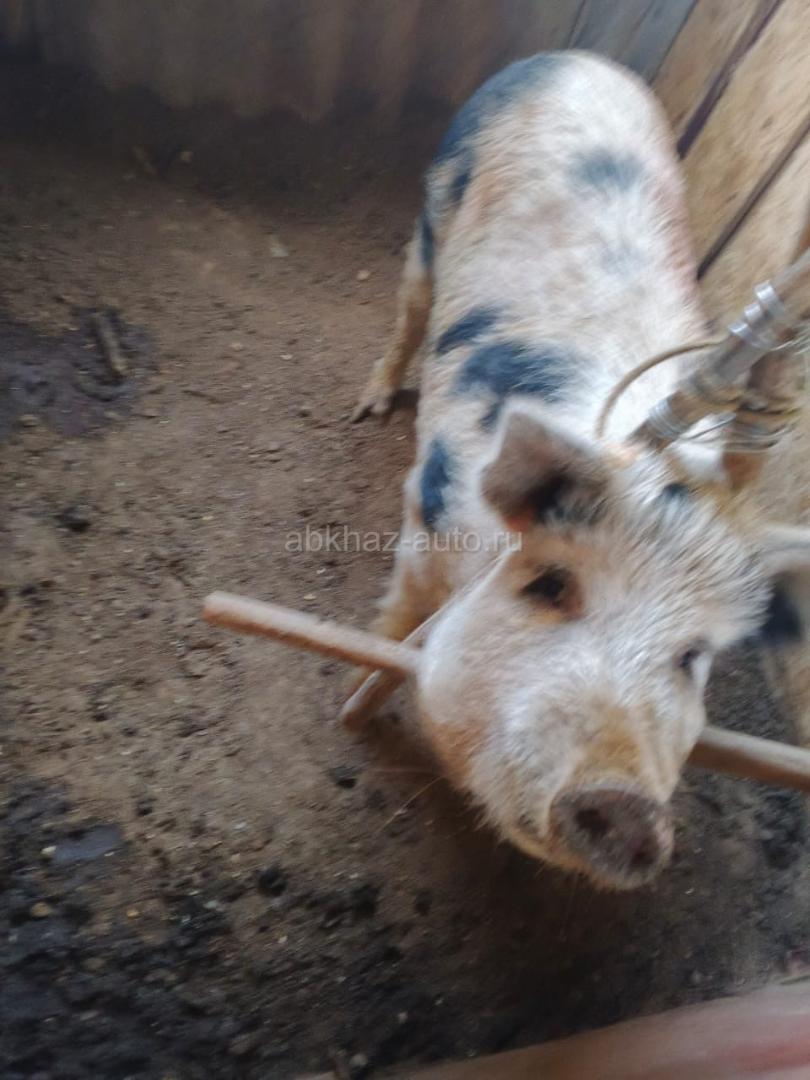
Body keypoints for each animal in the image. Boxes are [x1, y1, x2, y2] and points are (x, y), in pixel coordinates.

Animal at [352, 51, 810, 890]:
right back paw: (370, 403)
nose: (626, 804)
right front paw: (358, 684)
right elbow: (395, 619)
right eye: (551, 585)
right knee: (410, 305)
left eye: (692, 656)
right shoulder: (423, 514)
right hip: (436, 205)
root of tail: (578, 59)